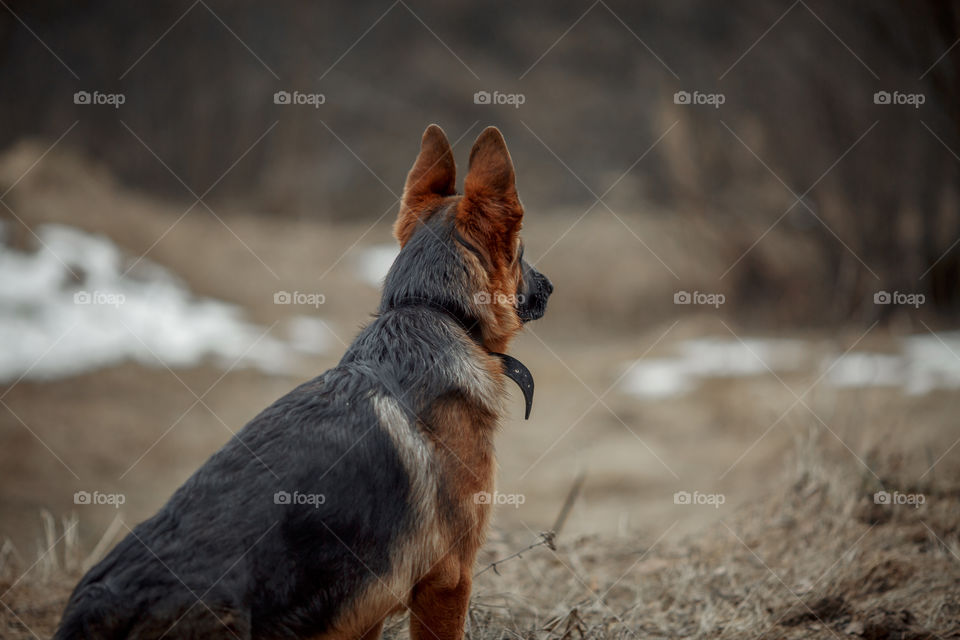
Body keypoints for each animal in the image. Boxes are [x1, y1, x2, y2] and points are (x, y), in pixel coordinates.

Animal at [58, 126, 556, 640]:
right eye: (520, 252)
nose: (549, 287)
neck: (433, 307)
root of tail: (96, 607)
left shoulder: (368, 607)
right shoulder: (448, 581)